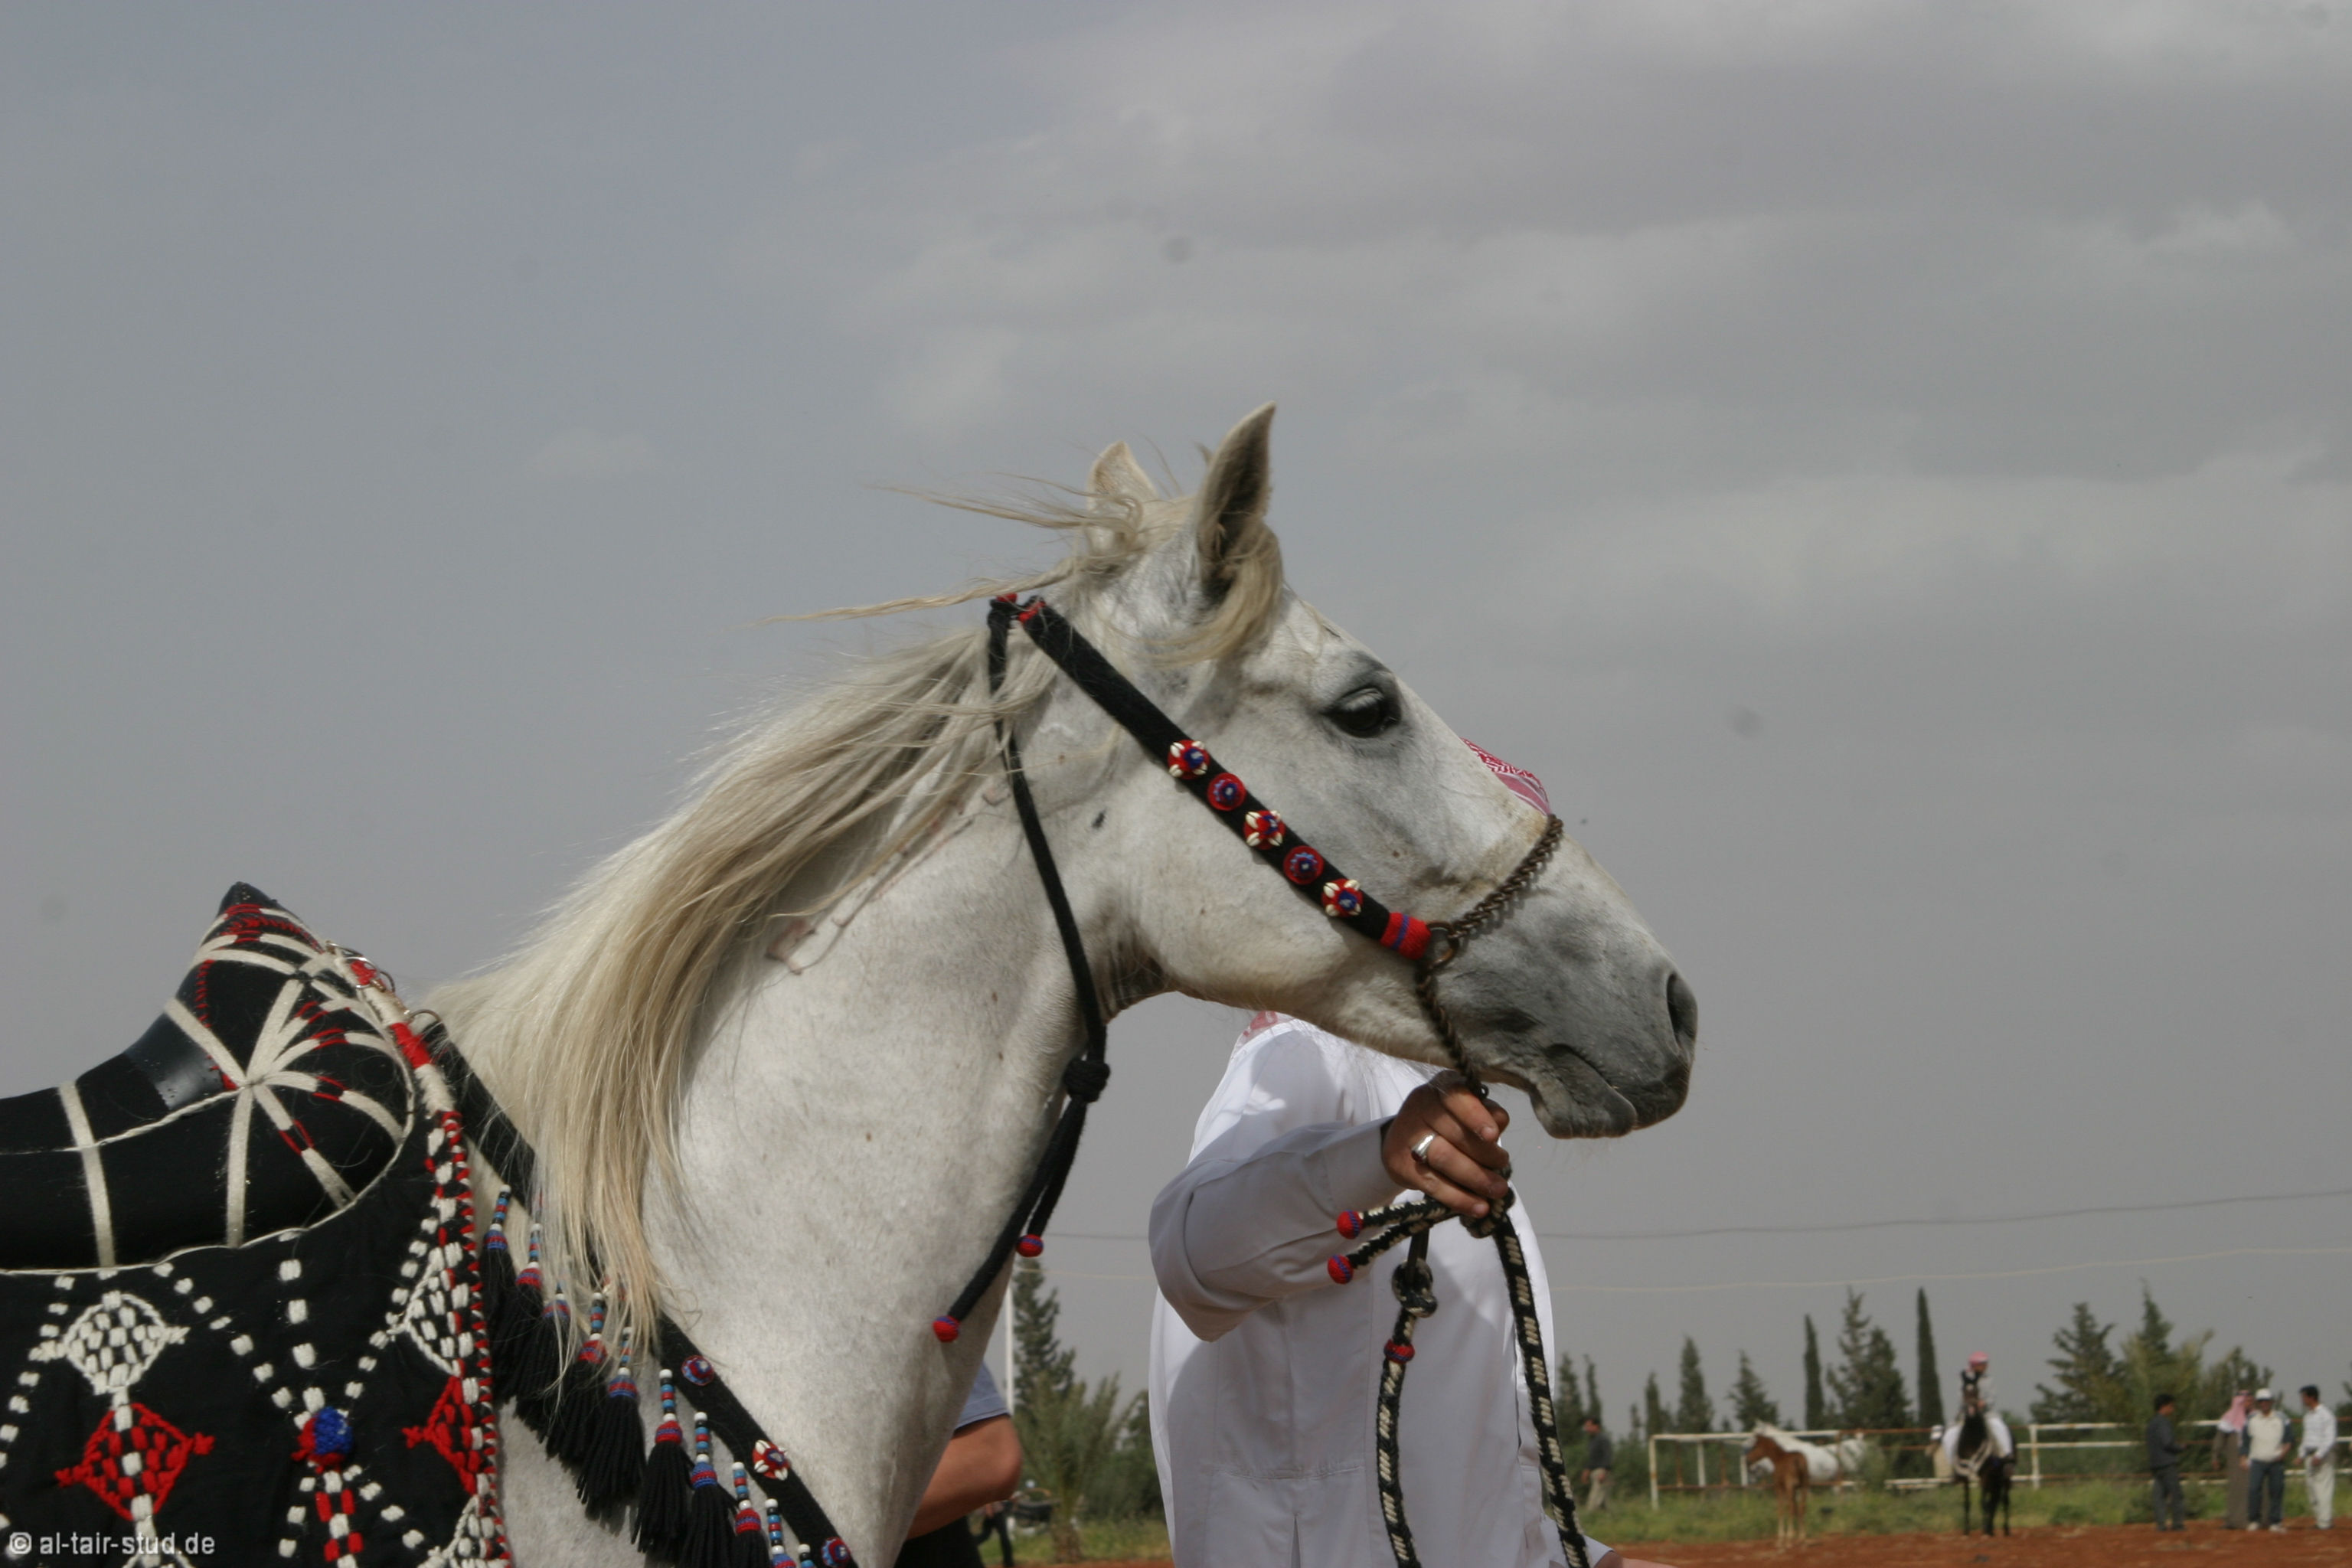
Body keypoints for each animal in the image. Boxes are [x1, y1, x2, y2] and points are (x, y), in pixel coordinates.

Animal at [1744, 1429, 1811, 1547]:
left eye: (1755, 1446)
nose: (1747, 1460)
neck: (1777, 1458)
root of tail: (1799, 1460)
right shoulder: (1795, 1489)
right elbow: (1796, 1509)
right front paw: (1799, 1538)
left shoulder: (1779, 1488)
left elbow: (1781, 1510)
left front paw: (1781, 1539)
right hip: (1804, 1487)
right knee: (1802, 1508)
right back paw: (1803, 1539)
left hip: (1790, 1487)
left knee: (1791, 1508)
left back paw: (1789, 1540)